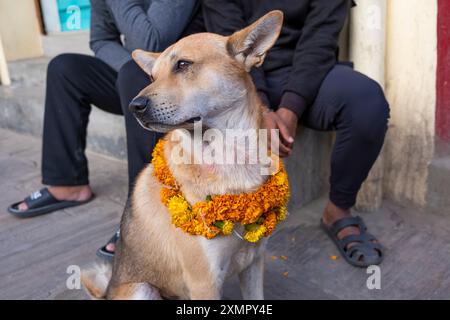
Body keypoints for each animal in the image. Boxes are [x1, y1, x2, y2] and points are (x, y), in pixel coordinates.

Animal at [81, 10, 284, 300]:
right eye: (152, 77)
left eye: (183, 64)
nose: (134, 106)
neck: (228, 156)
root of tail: (108, 291)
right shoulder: (204, 281)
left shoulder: (254, 264)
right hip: (142, 288)